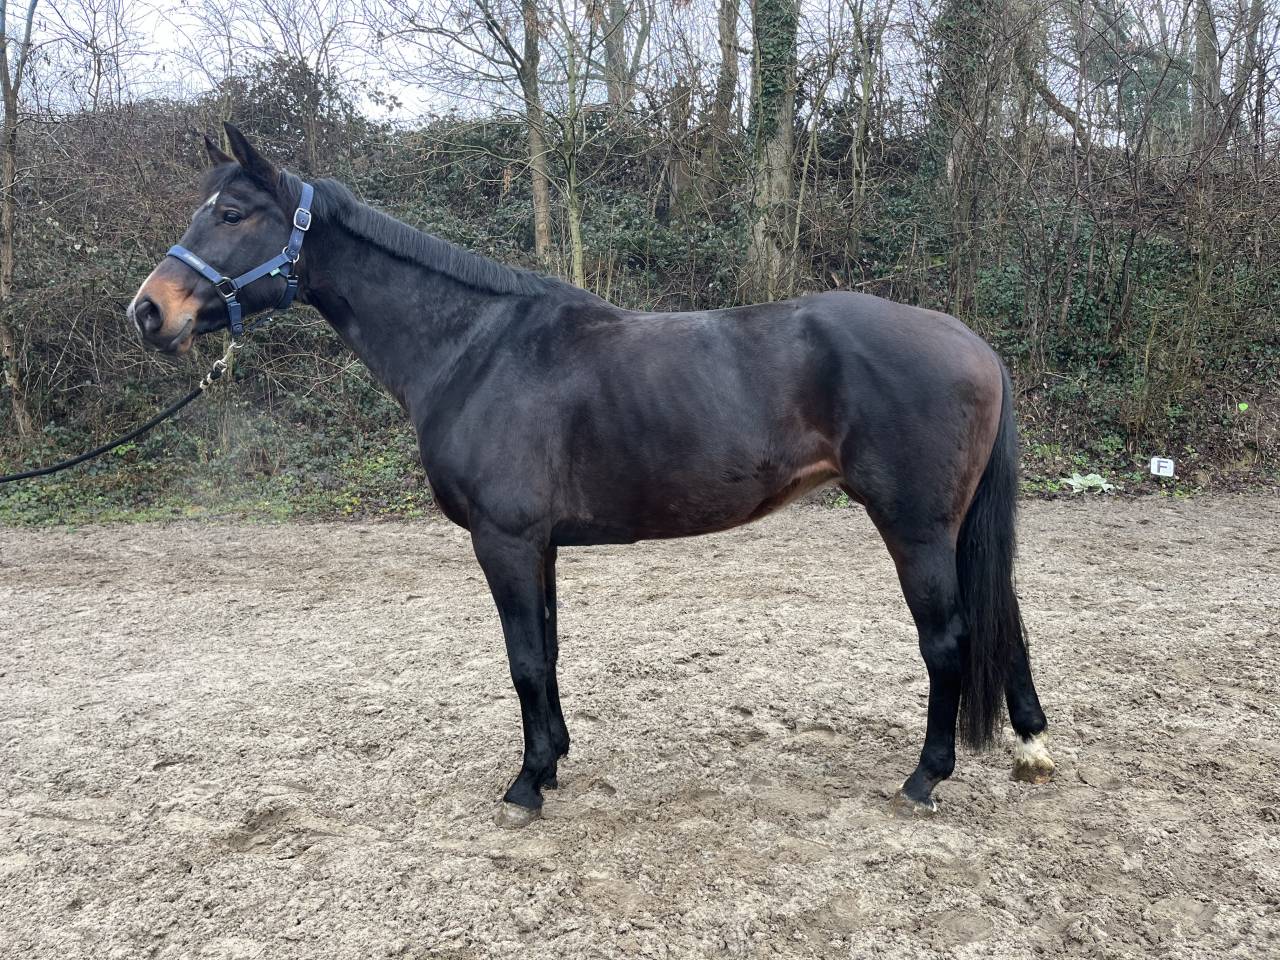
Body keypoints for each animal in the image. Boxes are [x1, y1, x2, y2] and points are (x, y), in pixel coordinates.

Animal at [128, 124, 1055, 827]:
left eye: (233, 213)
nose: (148, 311)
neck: (474, 350)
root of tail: (972, 343)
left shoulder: (504, 542)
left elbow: (523, 660)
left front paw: (525, 786)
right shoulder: (537, 545)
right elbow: (547, 650)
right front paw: (554, 760)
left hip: (915, 526)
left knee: (949, 638)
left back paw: (926, 777)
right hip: (952, 527)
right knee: (1003, 622)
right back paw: (1033, 746)